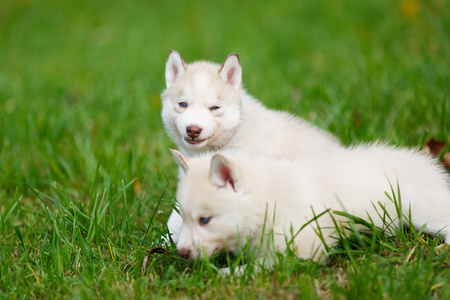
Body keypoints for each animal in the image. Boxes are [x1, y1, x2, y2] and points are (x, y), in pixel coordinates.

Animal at [171, 145, 450, 274]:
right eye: (184, 218)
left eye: (205, 220)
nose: (181, 253)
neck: (266, 201)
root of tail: (431, 167)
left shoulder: (304, 247)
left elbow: (263, 263)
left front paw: (228, 273)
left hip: (420, 210)